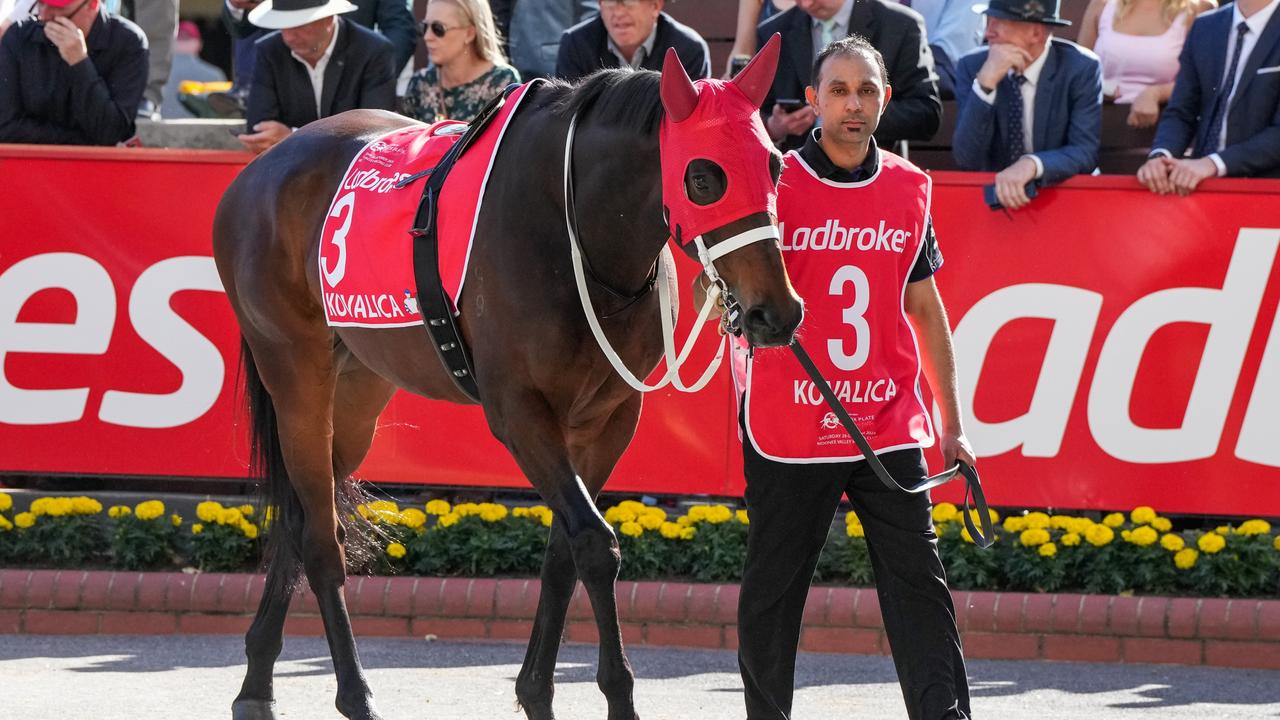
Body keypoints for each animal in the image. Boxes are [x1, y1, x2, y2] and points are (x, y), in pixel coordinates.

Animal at [216, 40, 803, 717]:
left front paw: (536, 690)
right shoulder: (521, 413)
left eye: (775, 167)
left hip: (359, 389)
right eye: (704, 177)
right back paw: (354, 693)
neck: (573, 225)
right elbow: (594, 544)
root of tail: (259, 171)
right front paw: (618, 694)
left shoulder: (606, 419)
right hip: (297, 375)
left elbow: (563, 554)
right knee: (319, 539)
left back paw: (256, 683)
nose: (777, 312)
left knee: (300, 519)